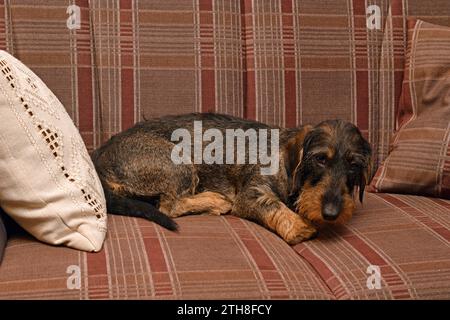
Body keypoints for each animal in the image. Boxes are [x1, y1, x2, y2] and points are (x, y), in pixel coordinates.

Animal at [92, 113, 372, 245]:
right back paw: (215, 201)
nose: (331, 213)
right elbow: (272, 205)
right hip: (177, 163)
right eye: (320, 159)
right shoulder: (252, 194)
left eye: (354, 165)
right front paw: (298, 226)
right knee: (170, 206)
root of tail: (100, 155)